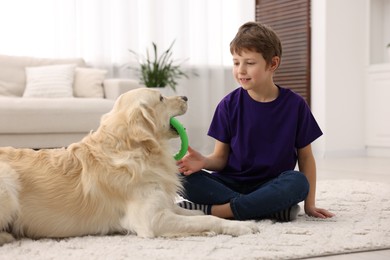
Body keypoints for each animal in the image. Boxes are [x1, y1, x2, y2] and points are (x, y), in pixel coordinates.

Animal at [0, 88, 258, 245]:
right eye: (161, 98)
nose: (185, 97)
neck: (136, 151)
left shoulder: (163, 204)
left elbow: (199, 213)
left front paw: (241, 223)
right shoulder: (151, 219)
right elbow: (208, 219)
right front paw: (241, 228)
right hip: (8, 184)